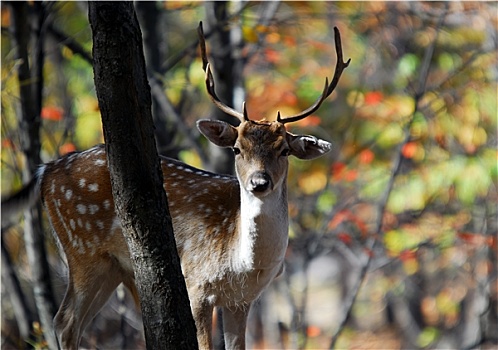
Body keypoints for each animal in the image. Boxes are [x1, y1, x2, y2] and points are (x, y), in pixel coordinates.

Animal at [0, 23, 350, 348]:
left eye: (284, 150)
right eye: (237, 149)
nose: (259, 182)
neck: (244, 265)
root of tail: (45, 169)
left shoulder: (242, 300)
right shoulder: (195, 284)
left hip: (115, 267)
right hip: (82, 248)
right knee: (64, 320)